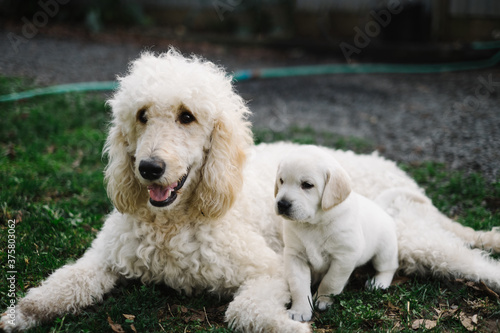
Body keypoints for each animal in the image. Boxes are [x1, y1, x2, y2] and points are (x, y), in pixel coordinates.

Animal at [274, 146, 398, 322]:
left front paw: (322, 300)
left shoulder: (345, 256)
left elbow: (331, 281)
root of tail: (379, 208)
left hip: (385, 250)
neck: (314, 224)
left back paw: (378, 282)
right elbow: (298, 286)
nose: (282, 204)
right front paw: (300, 310)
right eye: (281, 180)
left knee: (389, 267)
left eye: (307, 185)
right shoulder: (295, 256)